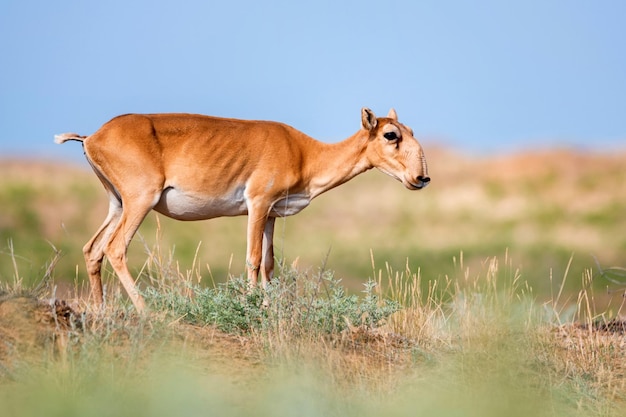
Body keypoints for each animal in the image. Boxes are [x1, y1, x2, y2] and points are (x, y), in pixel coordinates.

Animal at [56, 109, 428, 310]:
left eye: (410, 130)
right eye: (391, 134)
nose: (421, 178)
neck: (304, 152)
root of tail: (92, 137)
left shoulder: (272, 215)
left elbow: (269, 264)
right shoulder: (258, 205)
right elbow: (252, 259)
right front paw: (251, 308)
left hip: (117, 204)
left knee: (92, 249)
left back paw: (101, 311)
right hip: (139, 203)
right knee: (115, 248)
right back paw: (148, 311)